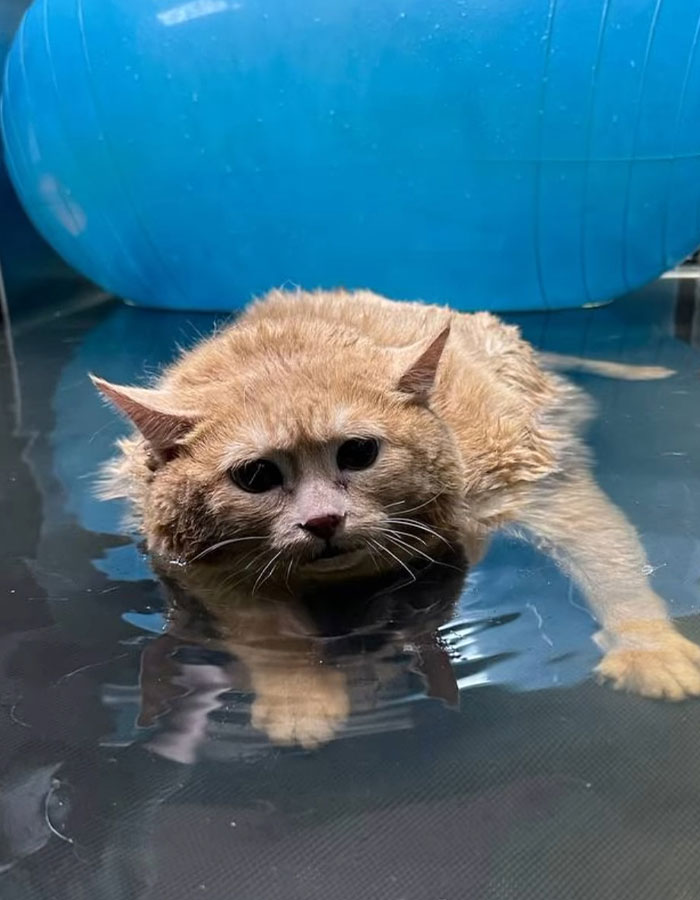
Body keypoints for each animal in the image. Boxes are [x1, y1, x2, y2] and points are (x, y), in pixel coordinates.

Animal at [91, 292, 700, 728]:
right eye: (256, 477)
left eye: (359, 453)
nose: (322, 521)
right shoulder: (199, 570)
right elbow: (267, 636)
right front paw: (300, 700)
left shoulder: (535, 482)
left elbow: (609, 561)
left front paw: (650, 647)